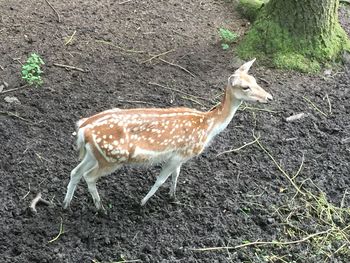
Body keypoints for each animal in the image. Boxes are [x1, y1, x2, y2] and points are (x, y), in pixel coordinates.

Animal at [63, 58, 274, 211]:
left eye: (255, 80)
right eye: (245, 87)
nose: (269, 97)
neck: (208, 126)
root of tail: (83, 128)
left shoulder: (180, 155)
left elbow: (176, 175)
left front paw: (173, 196)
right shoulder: (179, 154)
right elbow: (161, 179)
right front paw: (142, 203)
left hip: (95, 155)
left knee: (75, 172)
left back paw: (66, 205)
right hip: (112, 158)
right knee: (89, 176)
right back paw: (101, 209)